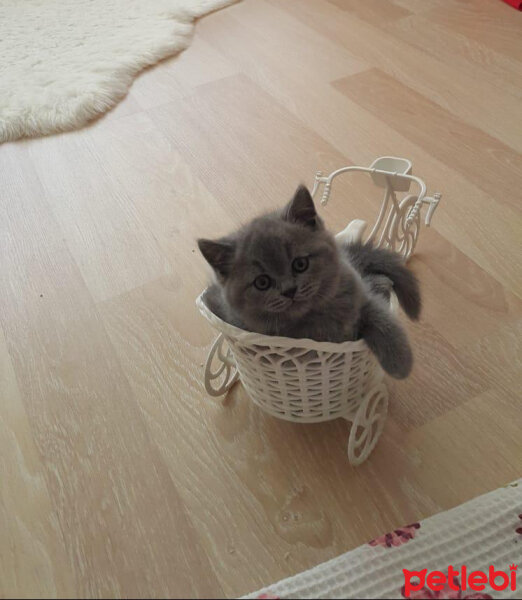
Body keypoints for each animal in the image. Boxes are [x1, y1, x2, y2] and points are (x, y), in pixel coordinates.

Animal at [197, 185, 420, 378]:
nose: (289, 290)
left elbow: (380, 316)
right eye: (262, 282)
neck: (315, 316)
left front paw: (401, 362)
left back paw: (382, 282)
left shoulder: (359, 294)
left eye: (300, 264)